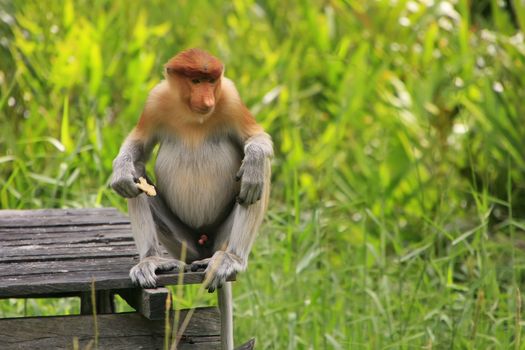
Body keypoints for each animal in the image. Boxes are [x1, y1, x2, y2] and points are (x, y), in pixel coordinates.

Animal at [109, 47, 272, 348]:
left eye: (211, 81)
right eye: (196, 81)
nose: (207, 99)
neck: (192, 115)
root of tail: (207, 246)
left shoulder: (229, 97)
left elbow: (258, 139)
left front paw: (254, 162)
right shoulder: (155, 101)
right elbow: (137, 147)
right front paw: (120, 173)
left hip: (222, 236)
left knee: (259, 177)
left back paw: (231, 259)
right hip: (183, 245)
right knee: (138, 175)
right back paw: (151, 260)